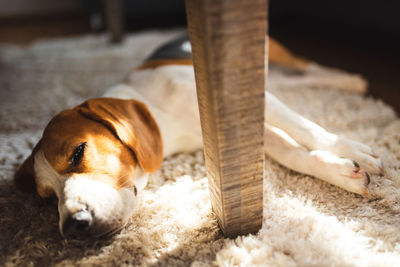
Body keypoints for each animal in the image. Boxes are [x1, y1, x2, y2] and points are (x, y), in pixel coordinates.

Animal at [13, 35, 382, 241]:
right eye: (47, 198)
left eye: (78, 152)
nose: (73, 227)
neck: (162, 112)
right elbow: (293, 152)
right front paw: (341, 172)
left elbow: (306, 128)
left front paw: (355, 150)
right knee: (296, 81)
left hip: (275, 53)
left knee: (306, 67)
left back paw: (348, 80)